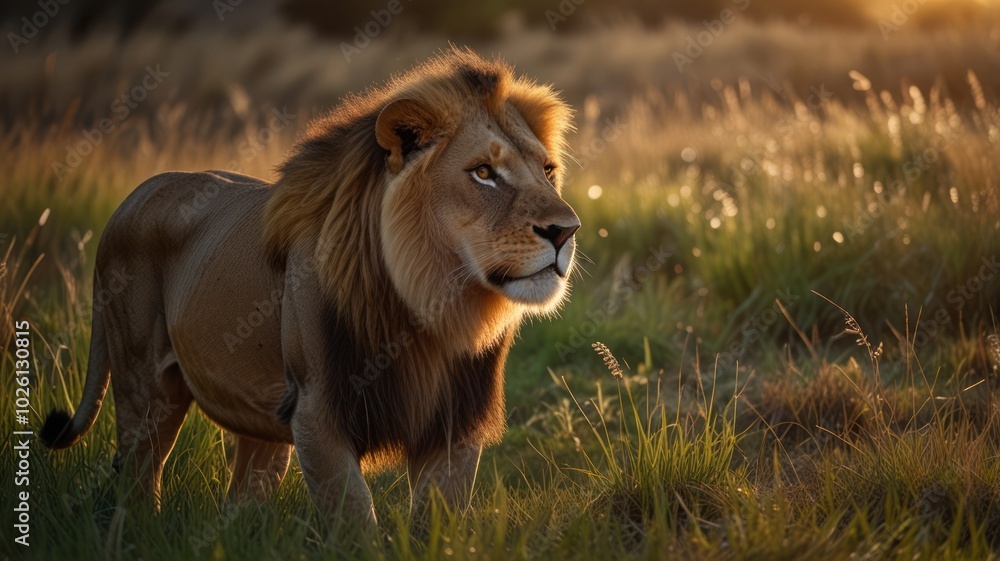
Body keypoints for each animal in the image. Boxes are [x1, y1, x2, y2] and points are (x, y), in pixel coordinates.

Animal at [39, 48, 580, 523]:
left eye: (547, 170)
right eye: (484, 172)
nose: (566, 230)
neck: (428, 308)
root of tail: (132, 197)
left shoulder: (455, 425)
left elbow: (436, 525)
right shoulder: (318, 413)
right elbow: (354, 522)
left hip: (260, 417)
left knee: (240, 498)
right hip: (144, 385)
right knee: (137, 479)